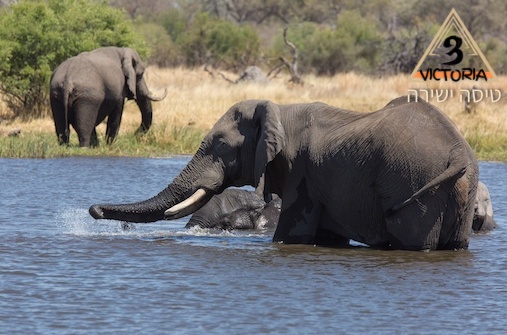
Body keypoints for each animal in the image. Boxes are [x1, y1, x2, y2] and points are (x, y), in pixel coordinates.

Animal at [90, 97, 480, 252]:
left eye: (220, 145)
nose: (93, 210)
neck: (279, 110)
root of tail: (458, 152)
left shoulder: (301, 172)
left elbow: (291, 236)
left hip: (413, 182)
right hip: (458, 189)